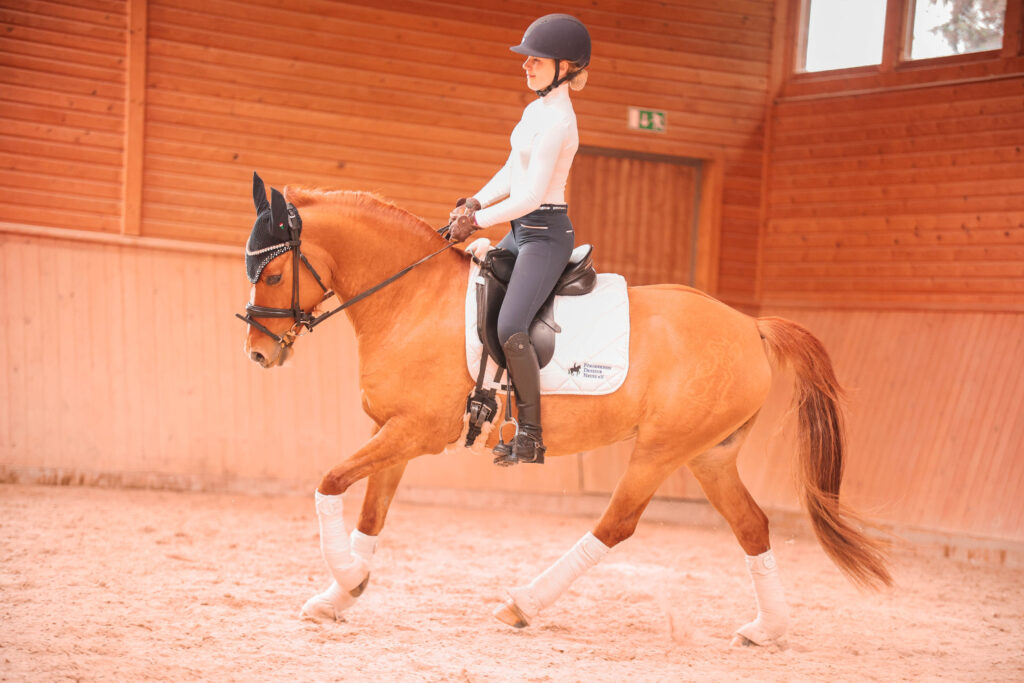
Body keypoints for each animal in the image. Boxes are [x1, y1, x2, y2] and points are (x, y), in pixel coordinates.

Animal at [239, 178, 888, 647]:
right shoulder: (392, 431)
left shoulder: (417, 431)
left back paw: (522, 604)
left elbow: (328, 483)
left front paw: (349, 580)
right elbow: (371, 516)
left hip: (661, 450)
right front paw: (338, 597)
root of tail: (751, 326)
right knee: (752, 526)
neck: (411, 299)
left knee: (616, 525)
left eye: (273, 272)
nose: (259, 353)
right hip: (709, 456)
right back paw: (768, 630)